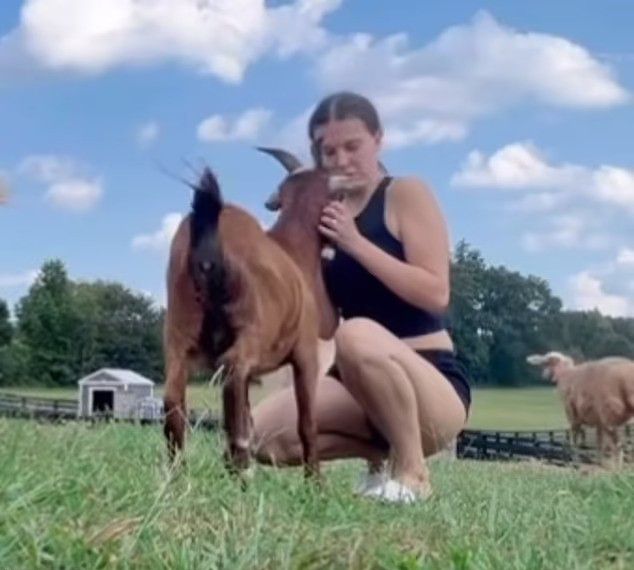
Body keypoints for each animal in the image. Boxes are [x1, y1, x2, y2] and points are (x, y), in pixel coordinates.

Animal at [163, 149, 340, 478]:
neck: (294, 251)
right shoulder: (305, 353)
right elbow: (307, 423)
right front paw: (315, 481)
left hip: (178, 333)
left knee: (174, 399)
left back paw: (179, 476)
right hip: (249, 331)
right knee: (233, 377)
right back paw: (242, 467)